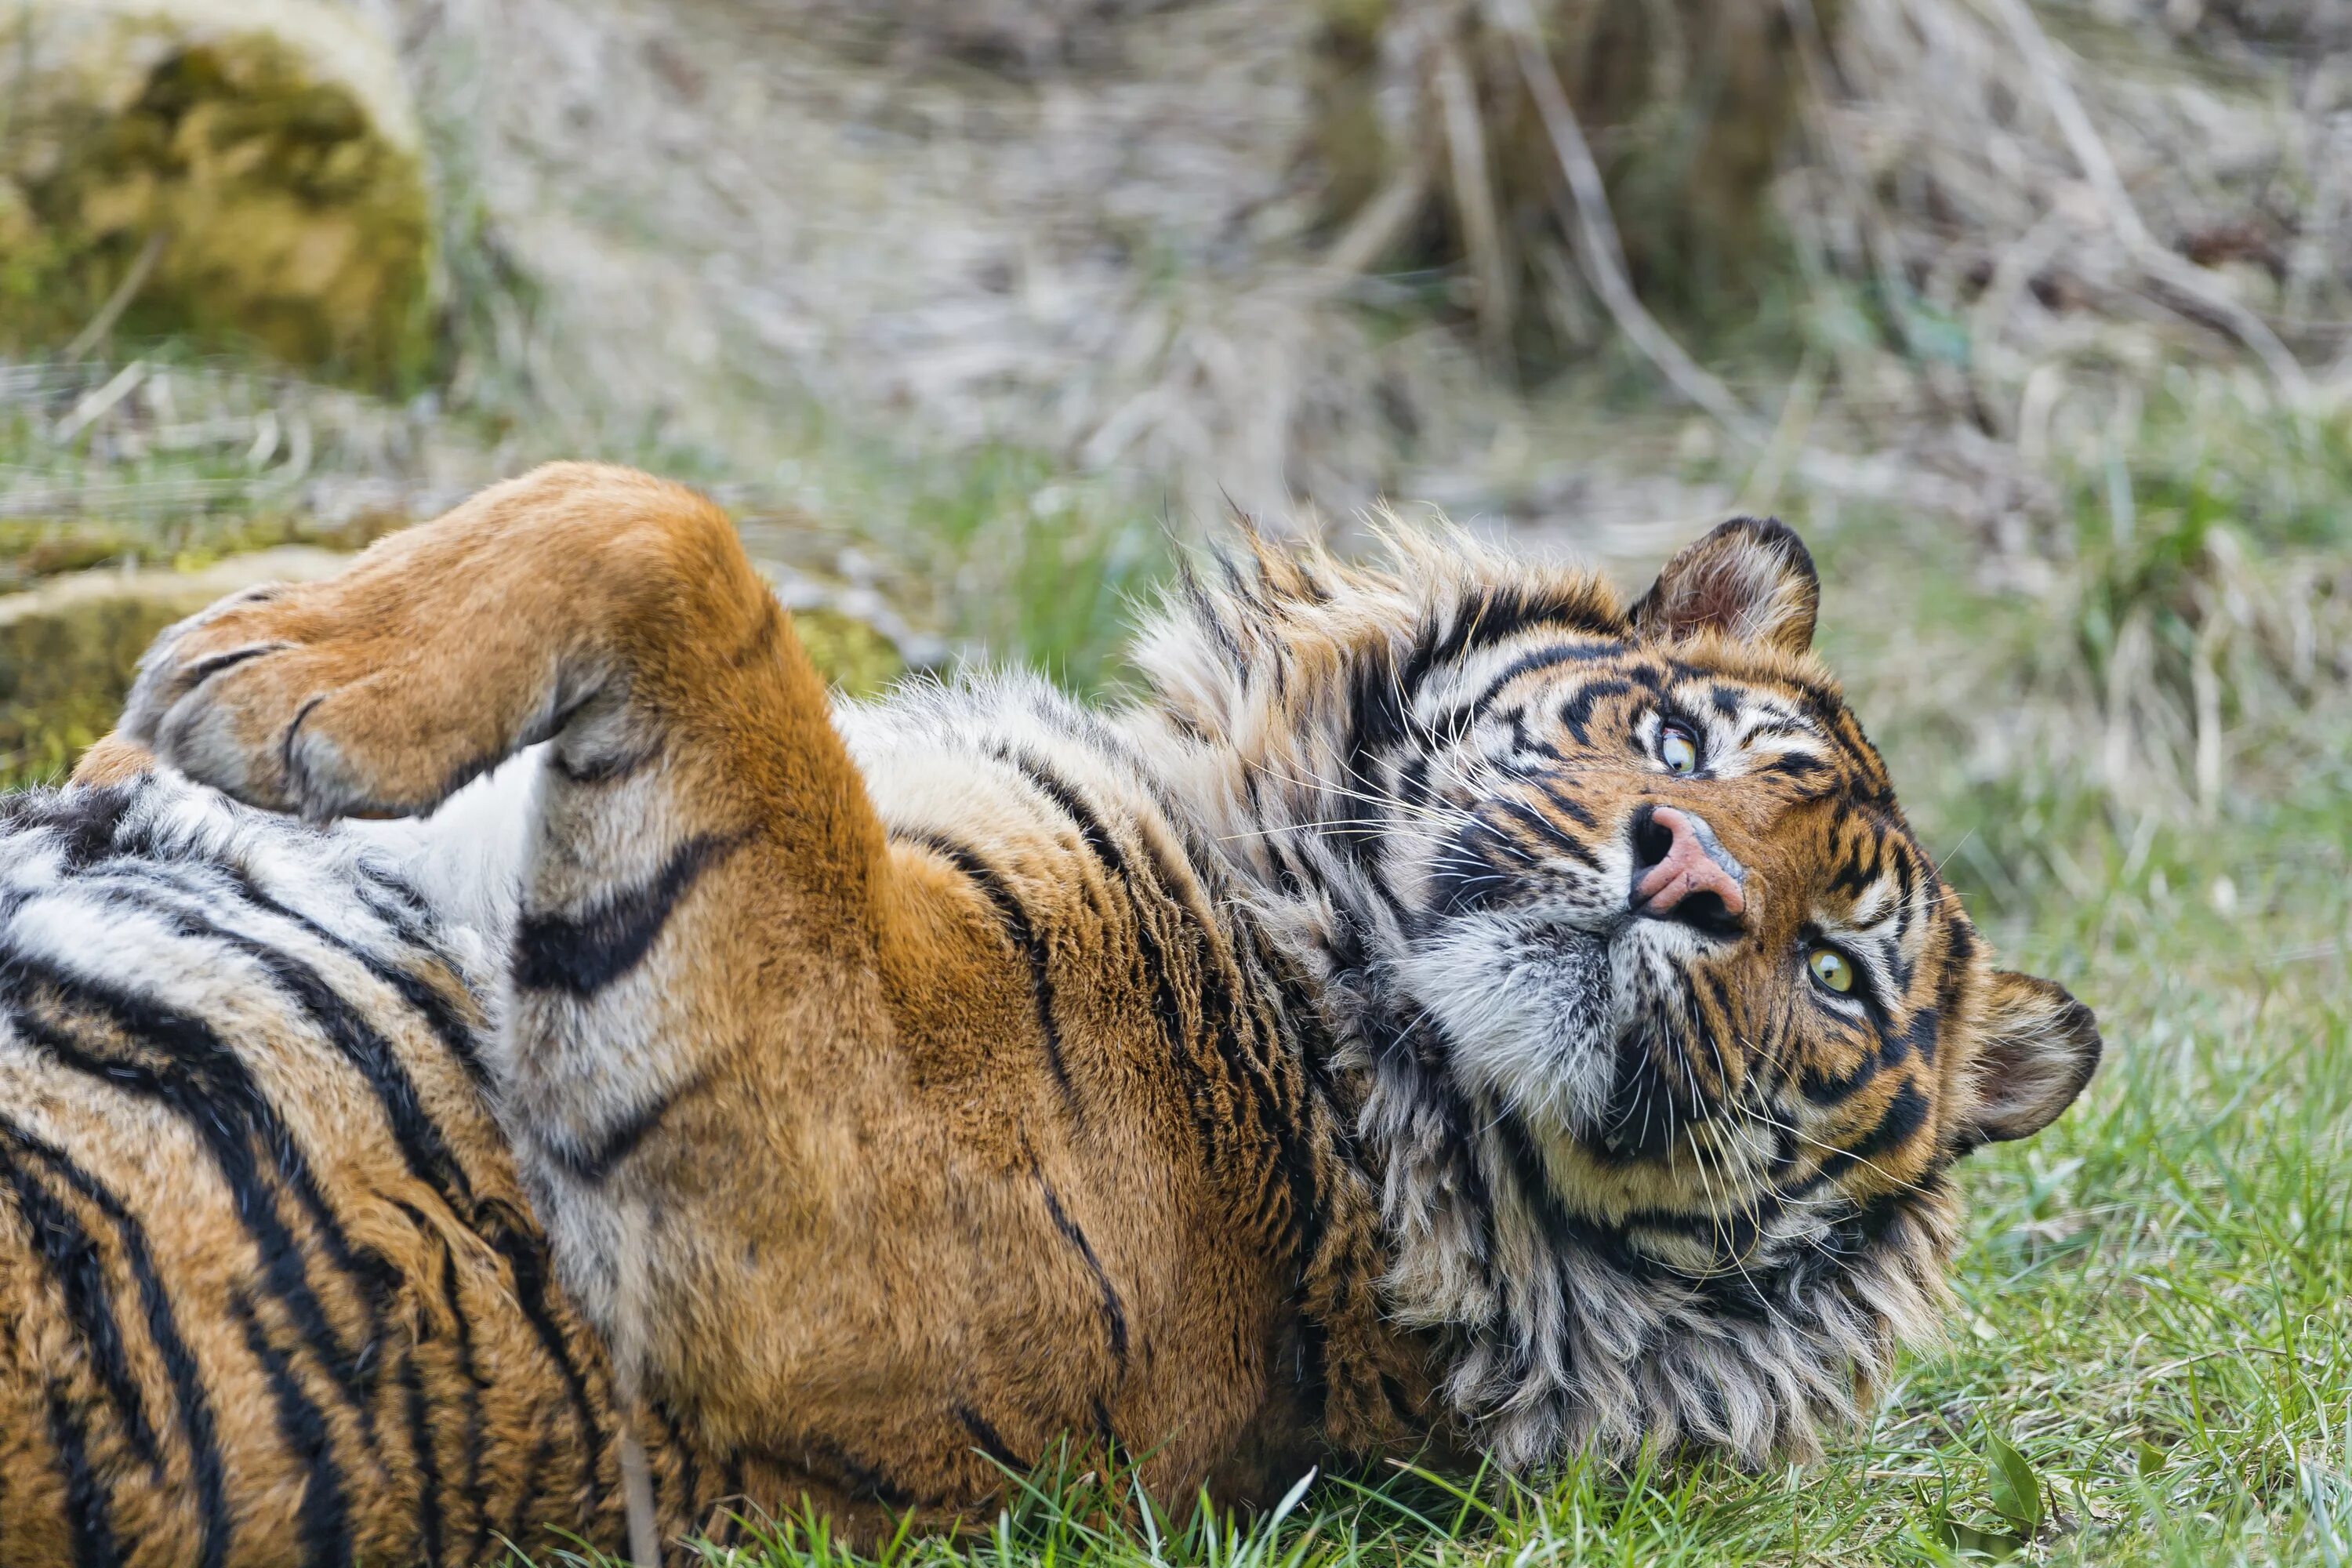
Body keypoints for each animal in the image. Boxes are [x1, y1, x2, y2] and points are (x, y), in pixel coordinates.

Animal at [0, 465, 2098, 1568]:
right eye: (1679, 745)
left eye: (1834, 970)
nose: (1691, 875)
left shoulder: (809, 1179)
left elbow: (675, 538)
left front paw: (259, 666)